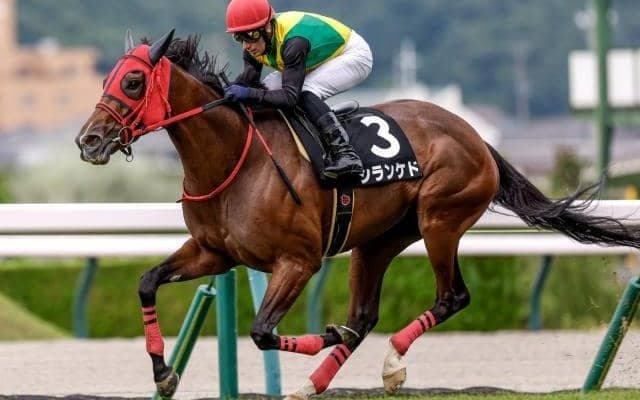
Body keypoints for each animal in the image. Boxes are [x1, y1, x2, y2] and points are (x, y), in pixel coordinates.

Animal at [75, 30, 640, 399]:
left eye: (132, 82)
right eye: (107, 79)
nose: (89, 141)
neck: (236, 158)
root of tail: (476, 137)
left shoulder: (298, 261)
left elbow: (261, 331)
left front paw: (327, 334)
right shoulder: (214, 253)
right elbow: (148, 282)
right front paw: (163, 373)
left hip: (440, 219)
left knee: (450, 296)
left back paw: (388, 364)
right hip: (378, 240)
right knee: (365, 315)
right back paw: (316, 383)